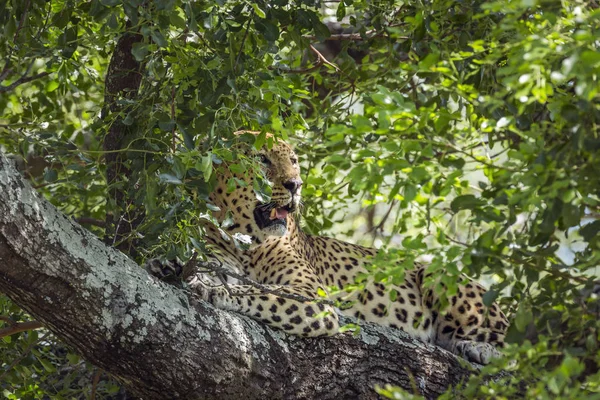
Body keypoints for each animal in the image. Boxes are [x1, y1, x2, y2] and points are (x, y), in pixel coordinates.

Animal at [148, 132, 508, 366]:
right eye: (261, 158)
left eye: (294, 161)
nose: (295, 185)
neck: (244, 240)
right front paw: (168, 265)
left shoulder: (312, 296)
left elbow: (258, 292)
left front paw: (210, 290)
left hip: (439, 275)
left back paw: (481, 349)